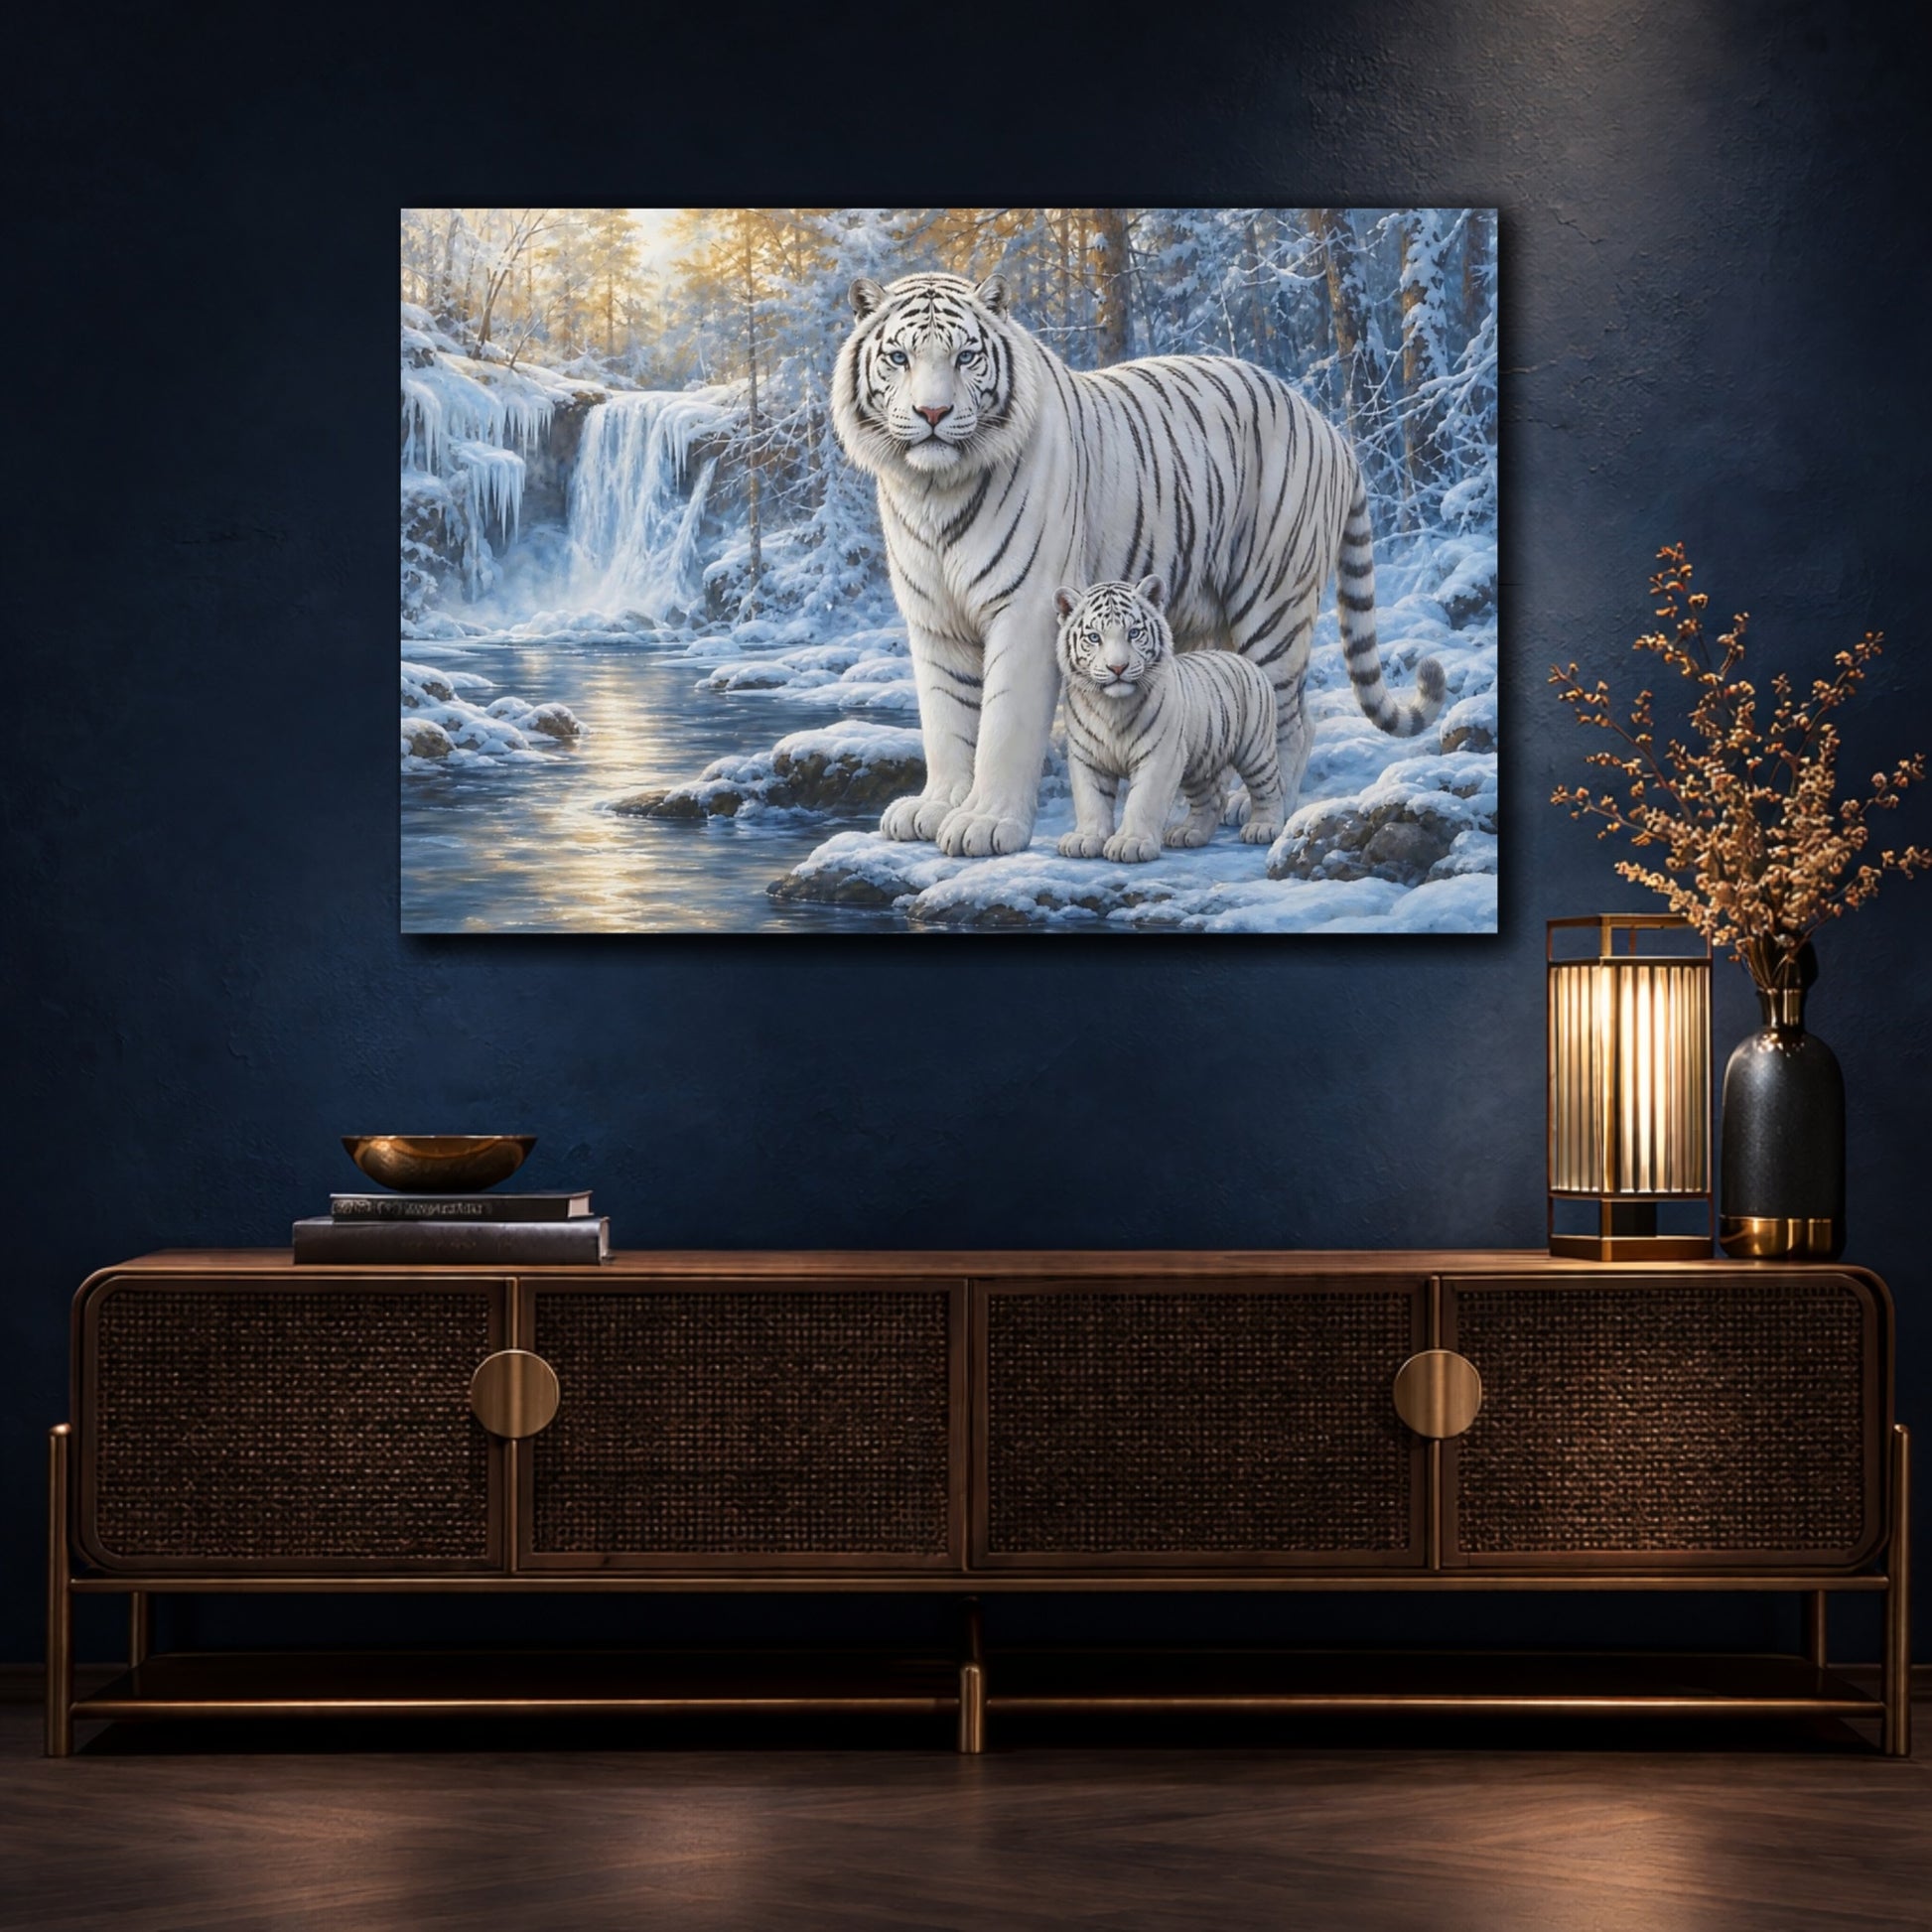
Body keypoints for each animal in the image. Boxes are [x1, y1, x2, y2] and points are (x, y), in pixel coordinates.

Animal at [1055, 576, 1285, 863]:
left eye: (1134, 633)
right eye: (1094, 637)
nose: (1117, 668)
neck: (1112, 705)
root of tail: (1241, 659)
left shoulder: (1161, 754)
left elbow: (1143, 799)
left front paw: (1130, 843)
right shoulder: (1087, 756)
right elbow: (1090, 799)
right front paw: (1085, 839)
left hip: (1255, 749)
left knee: (1269, 786)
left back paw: (1263, 827)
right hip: (1200, 761)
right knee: (1212, 798)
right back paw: (1189, 833)